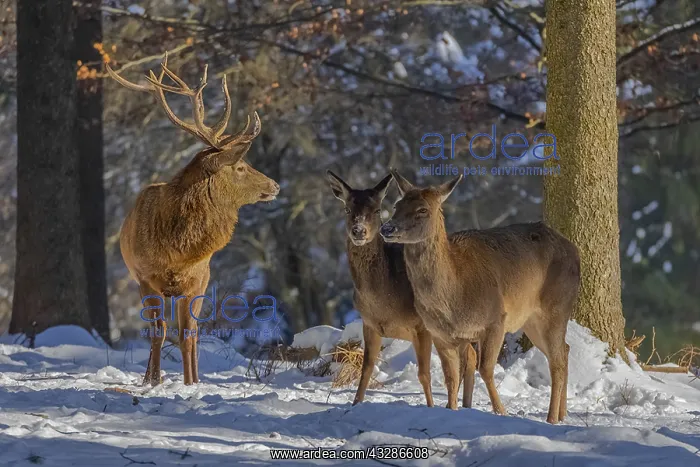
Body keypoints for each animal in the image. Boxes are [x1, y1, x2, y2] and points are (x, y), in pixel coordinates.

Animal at [106, 54, 280, 386]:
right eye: (240, 166)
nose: (275, 185)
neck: (177, 249)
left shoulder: (196, 281)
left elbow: (187, 334)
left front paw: (189, 384)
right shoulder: (145, 279)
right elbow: (158, 332)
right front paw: (155, 381)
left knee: (195, 332)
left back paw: (194, 378)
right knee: (158, 330)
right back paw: (148, 377)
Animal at [327, 171, 477, 408]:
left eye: (377, 210)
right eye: (347, 209)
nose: (358, 231)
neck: (384, 300)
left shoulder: (421, 326)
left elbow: (424, 374)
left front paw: (431, 407)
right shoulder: (369, 323)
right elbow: (366, 369)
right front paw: (355, 404)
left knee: (469, 357)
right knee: (470, 356)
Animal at [380, 170, 581, 424]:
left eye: (422, 209)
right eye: (397, 205)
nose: (387, 228)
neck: (453, 297)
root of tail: (575, 251)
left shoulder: (496, 319)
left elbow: (484, 368)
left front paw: (501, 411)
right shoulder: (439, 333)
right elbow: (451, 377)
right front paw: (451, 409)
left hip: (557, 305)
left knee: (557, 360)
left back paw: (552, 418)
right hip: (530, 320)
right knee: (565, 350)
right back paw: (562, 414)